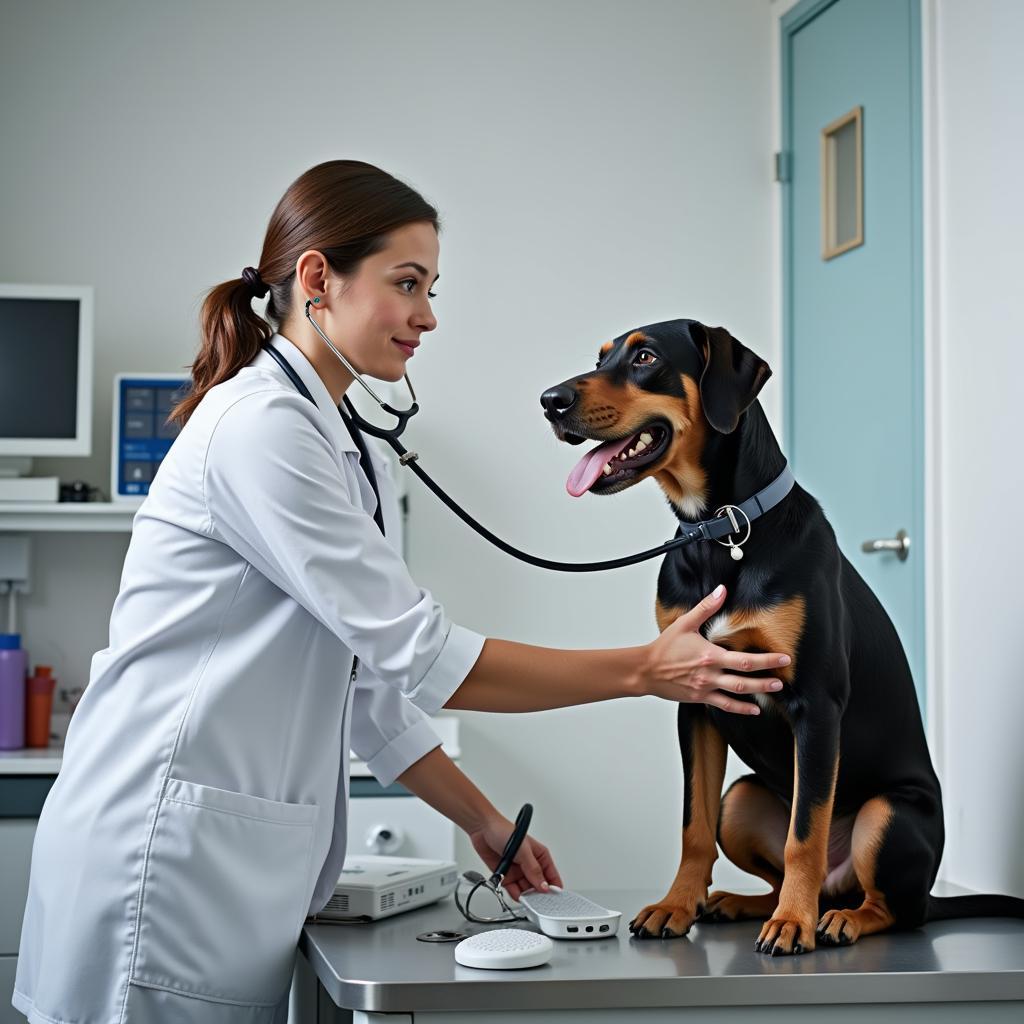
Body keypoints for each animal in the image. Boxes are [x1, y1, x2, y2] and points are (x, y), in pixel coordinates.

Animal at [540, 317, 1019, 950]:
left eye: (645, 357)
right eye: (601, 358)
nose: (550, 401)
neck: (722, 531)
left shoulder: (816, 704)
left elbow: (804, 835)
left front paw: (793, 924)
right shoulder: (694, 698)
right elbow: (694, 826)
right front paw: (677, 906)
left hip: (888, 814)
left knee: (894, 905)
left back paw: (832, 918)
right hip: (741, 800)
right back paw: (743, 904)